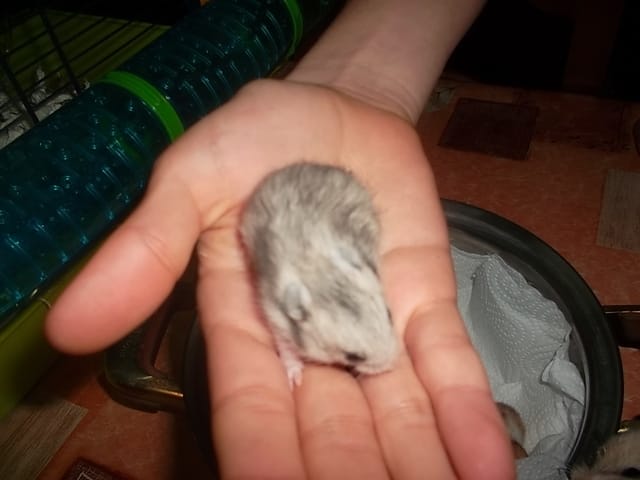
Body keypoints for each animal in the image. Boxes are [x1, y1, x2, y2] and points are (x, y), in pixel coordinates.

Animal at [240, 162, 399, 388]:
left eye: (390, 315)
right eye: (353, 356)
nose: (393, 365)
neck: (316, 269)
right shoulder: (276, 317)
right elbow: (286, 347)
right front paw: (295, 379)